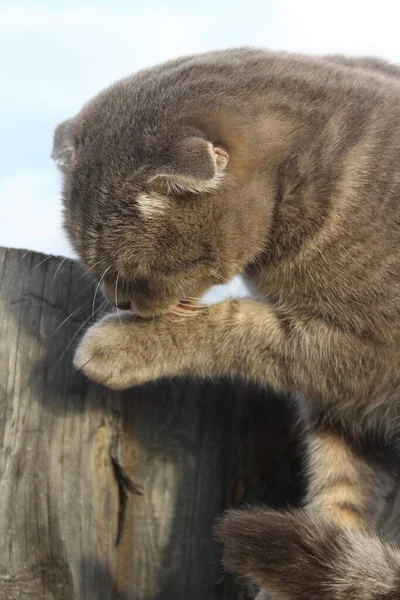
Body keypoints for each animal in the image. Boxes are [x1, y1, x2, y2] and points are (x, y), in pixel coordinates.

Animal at [52, 50, 400, 600]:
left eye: (131, 274)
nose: (117, 299)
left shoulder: (366, 355)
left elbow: (242, 326)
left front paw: (119, 344)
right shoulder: (343, 407)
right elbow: (338, 495)